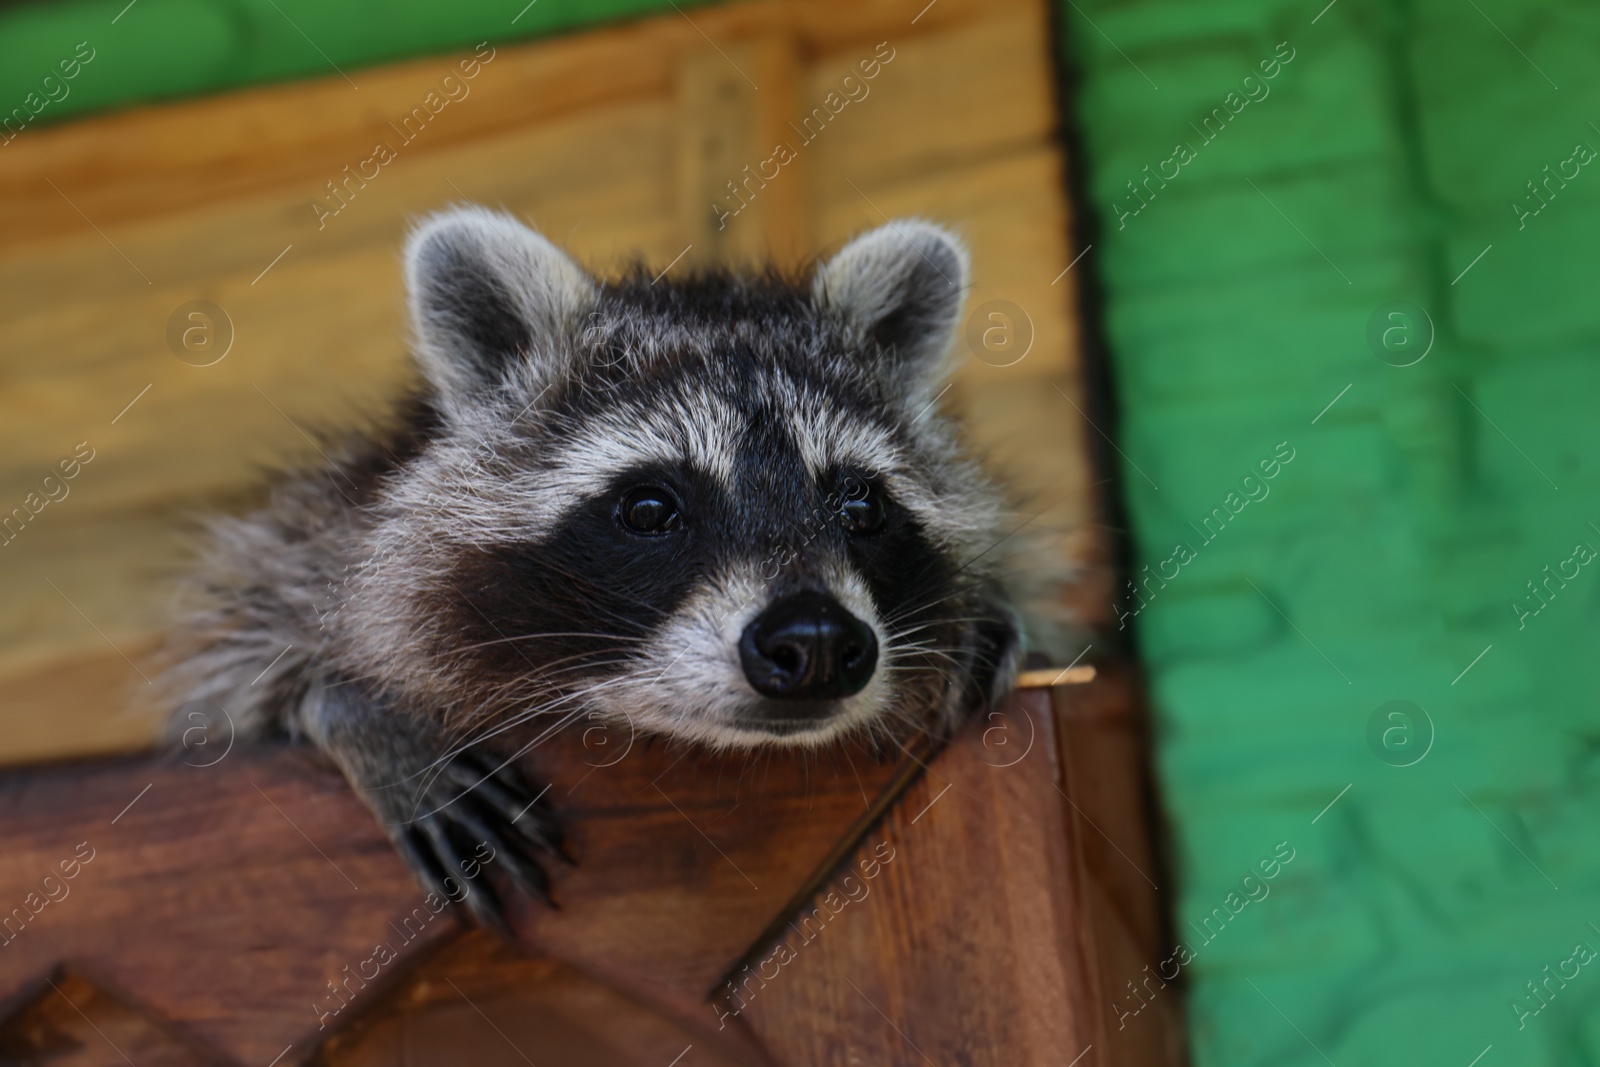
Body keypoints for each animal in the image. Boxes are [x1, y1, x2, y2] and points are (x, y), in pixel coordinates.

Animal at [159, 206, 1036, 927]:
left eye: (859, 506)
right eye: (649, 508)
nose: (815, 640)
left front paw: (977, 615)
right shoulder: (318, 528)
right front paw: (347, 703)